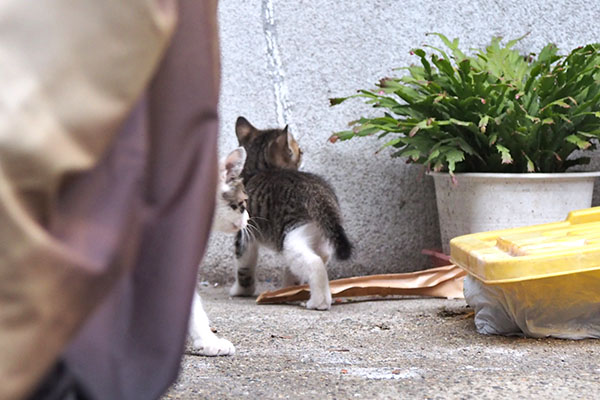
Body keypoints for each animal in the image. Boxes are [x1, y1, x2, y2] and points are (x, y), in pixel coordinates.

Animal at [230, 115, 352, 310]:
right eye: (299, 151)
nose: (302, 152)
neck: (259, 170)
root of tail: (317, 192)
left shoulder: (245, 233)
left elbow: (244, 265)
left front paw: (241, 291)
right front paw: (288, 288)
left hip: (291, 235)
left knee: (314, 262)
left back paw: (319, 302)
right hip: (323, 235)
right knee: (321, 256)